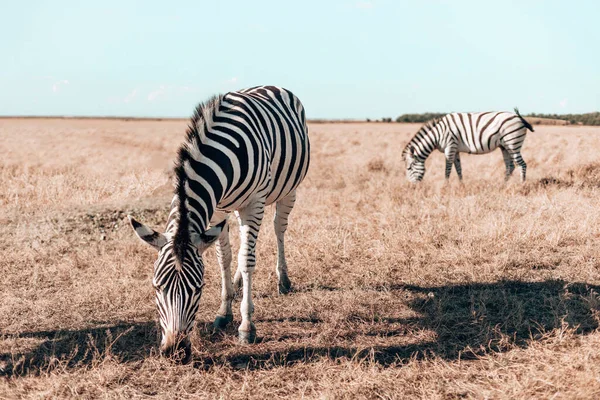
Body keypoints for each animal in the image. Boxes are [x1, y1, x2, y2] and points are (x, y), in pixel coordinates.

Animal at [129, 86, 312, 360]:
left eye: (198, 288)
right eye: (156, 287)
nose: (175, 351)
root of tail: (270, 86)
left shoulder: (254, 202)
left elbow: (247, 260)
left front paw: (246, 327)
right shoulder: (217, 211)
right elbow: (224, 257)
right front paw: (224, 312)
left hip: (288, 190)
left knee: (279, 228)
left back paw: (283, 280)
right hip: (236, 209)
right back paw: (238, 283)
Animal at [404, 108, 536, 183]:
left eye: (409, 168)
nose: (412, 188)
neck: (438, 135)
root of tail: (519, 117)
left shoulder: (450, 147)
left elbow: (447, 169)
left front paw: (445, 186)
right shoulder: (455, 149)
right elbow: (458, 169)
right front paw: (461, 185)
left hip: (513, 144)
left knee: (522, 164)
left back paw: (521, 185)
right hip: (505, 146)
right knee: (510, 166)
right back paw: (504, 185)